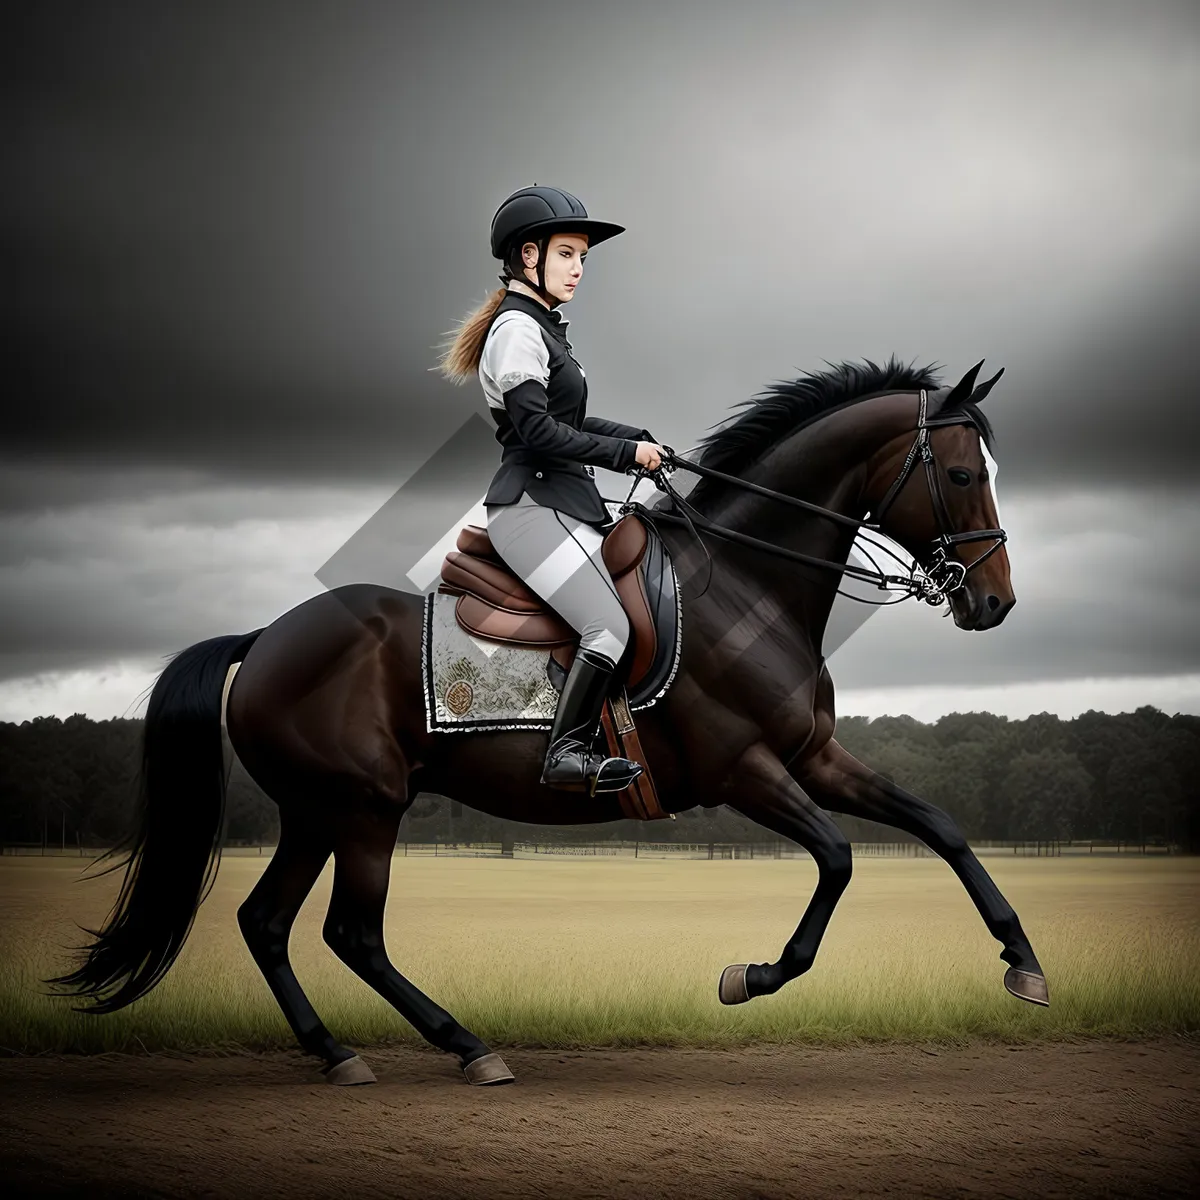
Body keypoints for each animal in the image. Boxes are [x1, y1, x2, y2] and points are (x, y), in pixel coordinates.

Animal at [42, 350, 1046, 1084]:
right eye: (963, 473)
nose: (993, 602)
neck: (749, 582)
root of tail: (266, 639)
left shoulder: (815, 755)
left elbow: (941, 827)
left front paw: (1022, 960)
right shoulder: (746, 770)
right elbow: (837, 861)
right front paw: (750, 977)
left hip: (316, 811)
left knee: (268, 923)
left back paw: (337, 1053)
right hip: (363, 808)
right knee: (350, 933)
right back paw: (465, 1047)